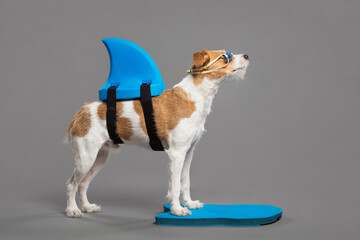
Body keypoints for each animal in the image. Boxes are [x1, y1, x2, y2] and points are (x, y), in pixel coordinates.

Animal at [65, 50, 248, 218]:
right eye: (225, 56)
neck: (195, 95)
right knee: (72, 183)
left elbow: (185, 181)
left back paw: (87, 207)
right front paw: (177, 209)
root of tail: (81, 112)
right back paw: (72, 210)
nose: (246, 55)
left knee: (83, 184)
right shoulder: (176, 153)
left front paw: (189, 203)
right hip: (85, 157)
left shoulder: (188, 152)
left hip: (100, 157)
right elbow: (175, 185)